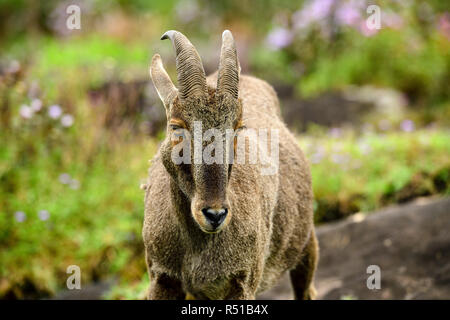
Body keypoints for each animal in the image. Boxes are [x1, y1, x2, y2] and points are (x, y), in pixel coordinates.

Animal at [142, 30, 318, 300]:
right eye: (175, 126)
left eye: (237, 127)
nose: (215, 214)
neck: (196, 247)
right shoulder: (161, 278)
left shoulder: (242, 282)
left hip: (305, 244)